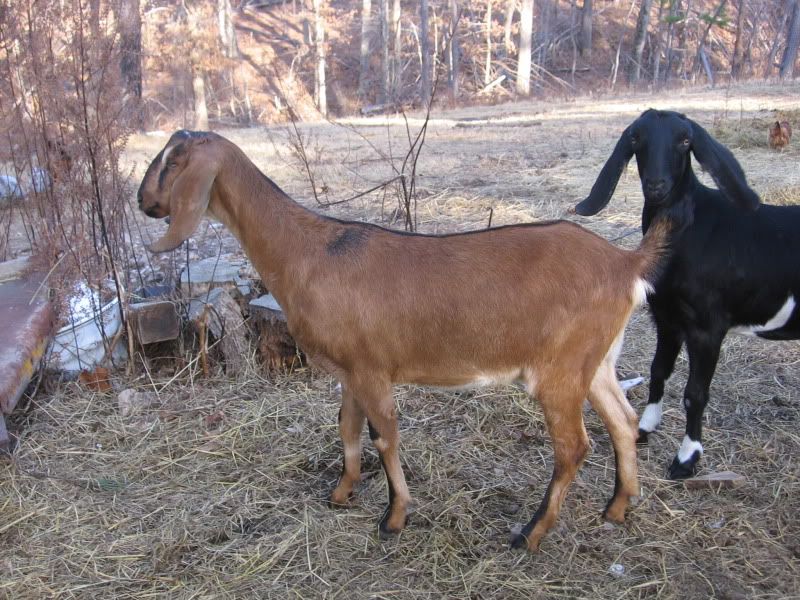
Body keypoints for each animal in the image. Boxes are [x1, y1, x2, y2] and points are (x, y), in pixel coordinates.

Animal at [138, 130, 672, 551]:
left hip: (559, 370)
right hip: (596, 360)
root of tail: (626, 263)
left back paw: (531, 534)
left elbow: (384, 436)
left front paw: (394, 518)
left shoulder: (372, 369)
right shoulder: (350, 369)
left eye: (172, 161)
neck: (310, 251)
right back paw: (617, 508)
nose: (144, 202)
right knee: (623, 422)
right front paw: (342, 493)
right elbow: (348, 427)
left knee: (573, 447)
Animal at [575, 109, 800, 479]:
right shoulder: (667, 319)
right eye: (636, 138)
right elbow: (658, 370)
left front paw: (686, 458)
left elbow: (695, 393)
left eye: (684, 140)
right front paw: (644, 429)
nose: (656, 185)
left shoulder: (707, 328)